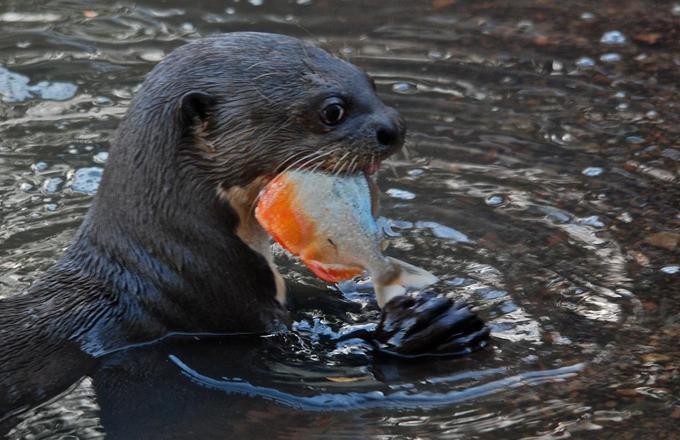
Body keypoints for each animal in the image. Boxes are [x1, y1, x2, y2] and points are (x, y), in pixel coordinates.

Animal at [0, 32, 488, 418]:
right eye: (332, 110)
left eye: (370, 82)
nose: (395, 127)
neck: (175, 263)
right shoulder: (221, 312)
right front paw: (425, 328)